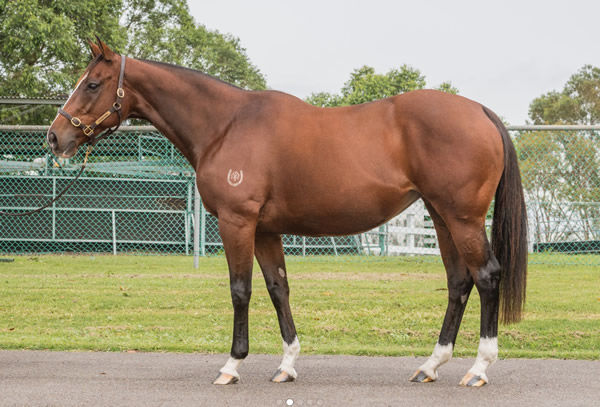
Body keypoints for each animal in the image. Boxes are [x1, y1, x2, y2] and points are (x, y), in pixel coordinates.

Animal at [47, 39, 524, 388]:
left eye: (93, 84)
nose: (55, 136)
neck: (225, 125)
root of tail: (479, 111)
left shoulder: (237, 222)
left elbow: (240, 290)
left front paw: (232, 365)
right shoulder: (265, 231)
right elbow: (278, 288)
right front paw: (288, 364)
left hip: (461, 219)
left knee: (486, 276)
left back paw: (478, 369)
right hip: (441, 218)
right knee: (458, 282)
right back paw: (431, 364)